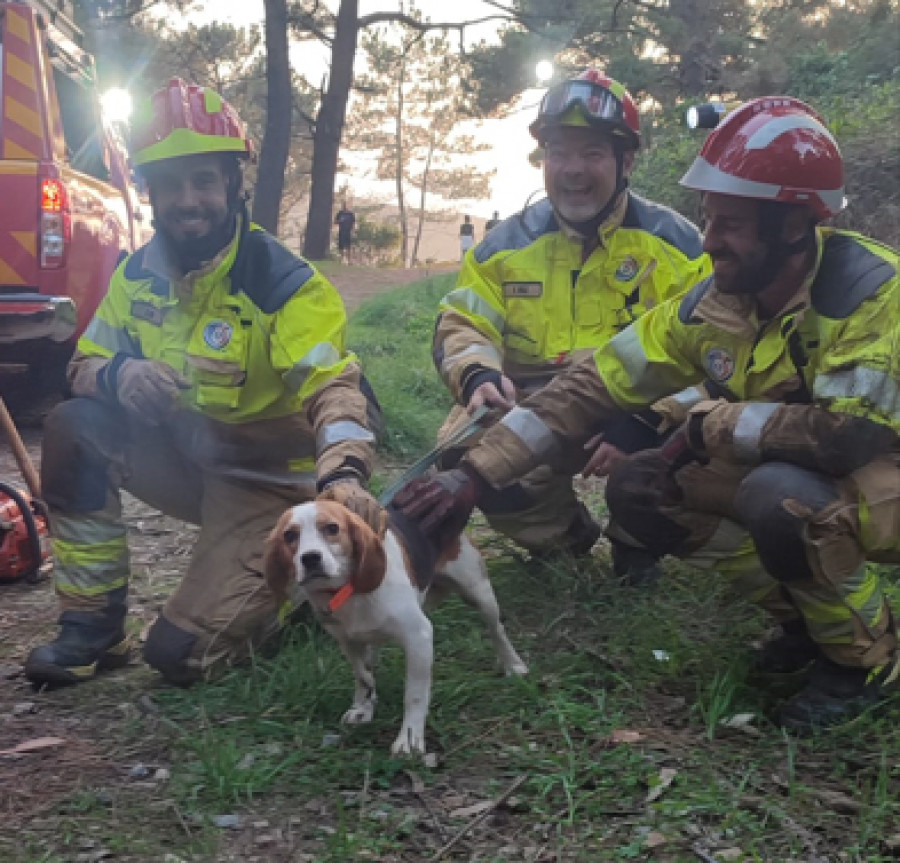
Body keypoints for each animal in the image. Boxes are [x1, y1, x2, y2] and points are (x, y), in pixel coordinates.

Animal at [260, 500, 528, 756]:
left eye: (332, 528)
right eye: (289, 535)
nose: (310, 558)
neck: (351, 593)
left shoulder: (419, 637)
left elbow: (414, 695)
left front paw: (409, 738)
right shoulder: (348, 642)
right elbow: (363, 677)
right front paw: (363, 707)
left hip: (479, 594)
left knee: (497, 631)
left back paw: (513, 664)